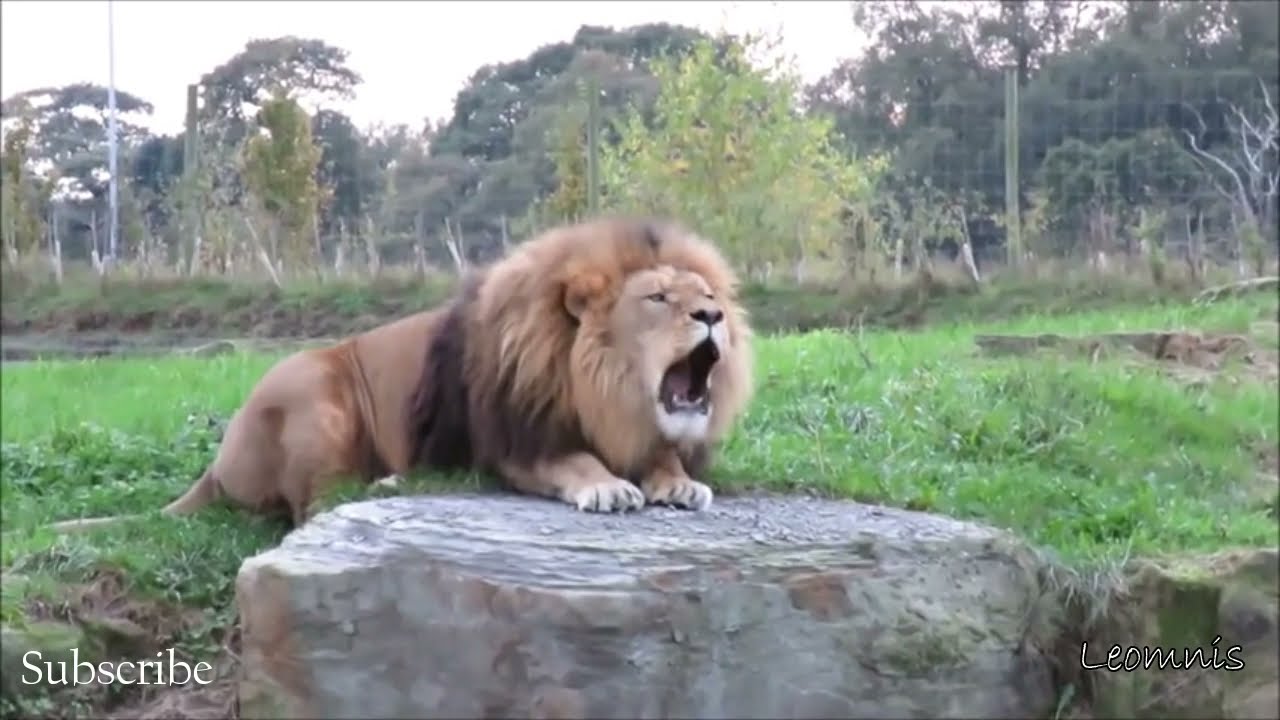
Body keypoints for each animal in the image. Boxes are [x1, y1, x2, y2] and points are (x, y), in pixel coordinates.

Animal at [49, 216, 753, 532]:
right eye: (657, 298)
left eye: (705, 293)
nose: (713, 316)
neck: (605, 390)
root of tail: (218, 463)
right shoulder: (514, 441)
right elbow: (571, 461)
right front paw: (606, 486)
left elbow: (666, 455)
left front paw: (677, 481)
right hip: (316, 394)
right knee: (315, 505)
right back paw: (390, 485)